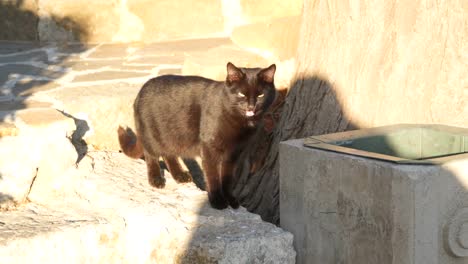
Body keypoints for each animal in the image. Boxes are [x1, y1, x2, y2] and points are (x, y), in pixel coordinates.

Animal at [119, 62, 276, 208]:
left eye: (261, 95)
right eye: (241, 94)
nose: (251, 107)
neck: (241, 122)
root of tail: (140, 91)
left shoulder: (233, 154)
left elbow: (227, 178)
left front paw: (230, 199)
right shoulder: (210, 149)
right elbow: (213, 176)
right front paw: (217, 201)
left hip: (171, 136)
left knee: (169, 155)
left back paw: (180, 175)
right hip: (152, 134)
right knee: (151, 155)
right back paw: (156, 179)